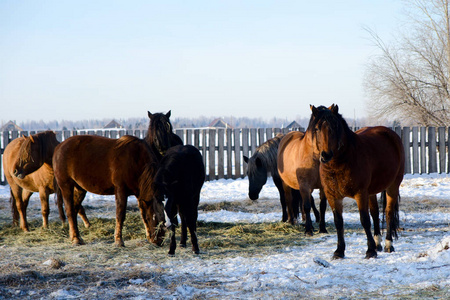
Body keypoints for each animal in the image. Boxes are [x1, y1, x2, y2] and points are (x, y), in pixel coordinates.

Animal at [310, 104, 404, 258]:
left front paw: (370, 251)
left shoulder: (360, 194)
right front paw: (339, 251)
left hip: (393, 186)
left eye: (335, 127)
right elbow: (338, 222)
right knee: (375, 213)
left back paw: (388, 245)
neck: (338, 164)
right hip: (371, 191)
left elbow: (364, 220)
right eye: (317, 128)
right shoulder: (333, 196)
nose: (326, 155)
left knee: (389, 212)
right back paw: (378, 243)